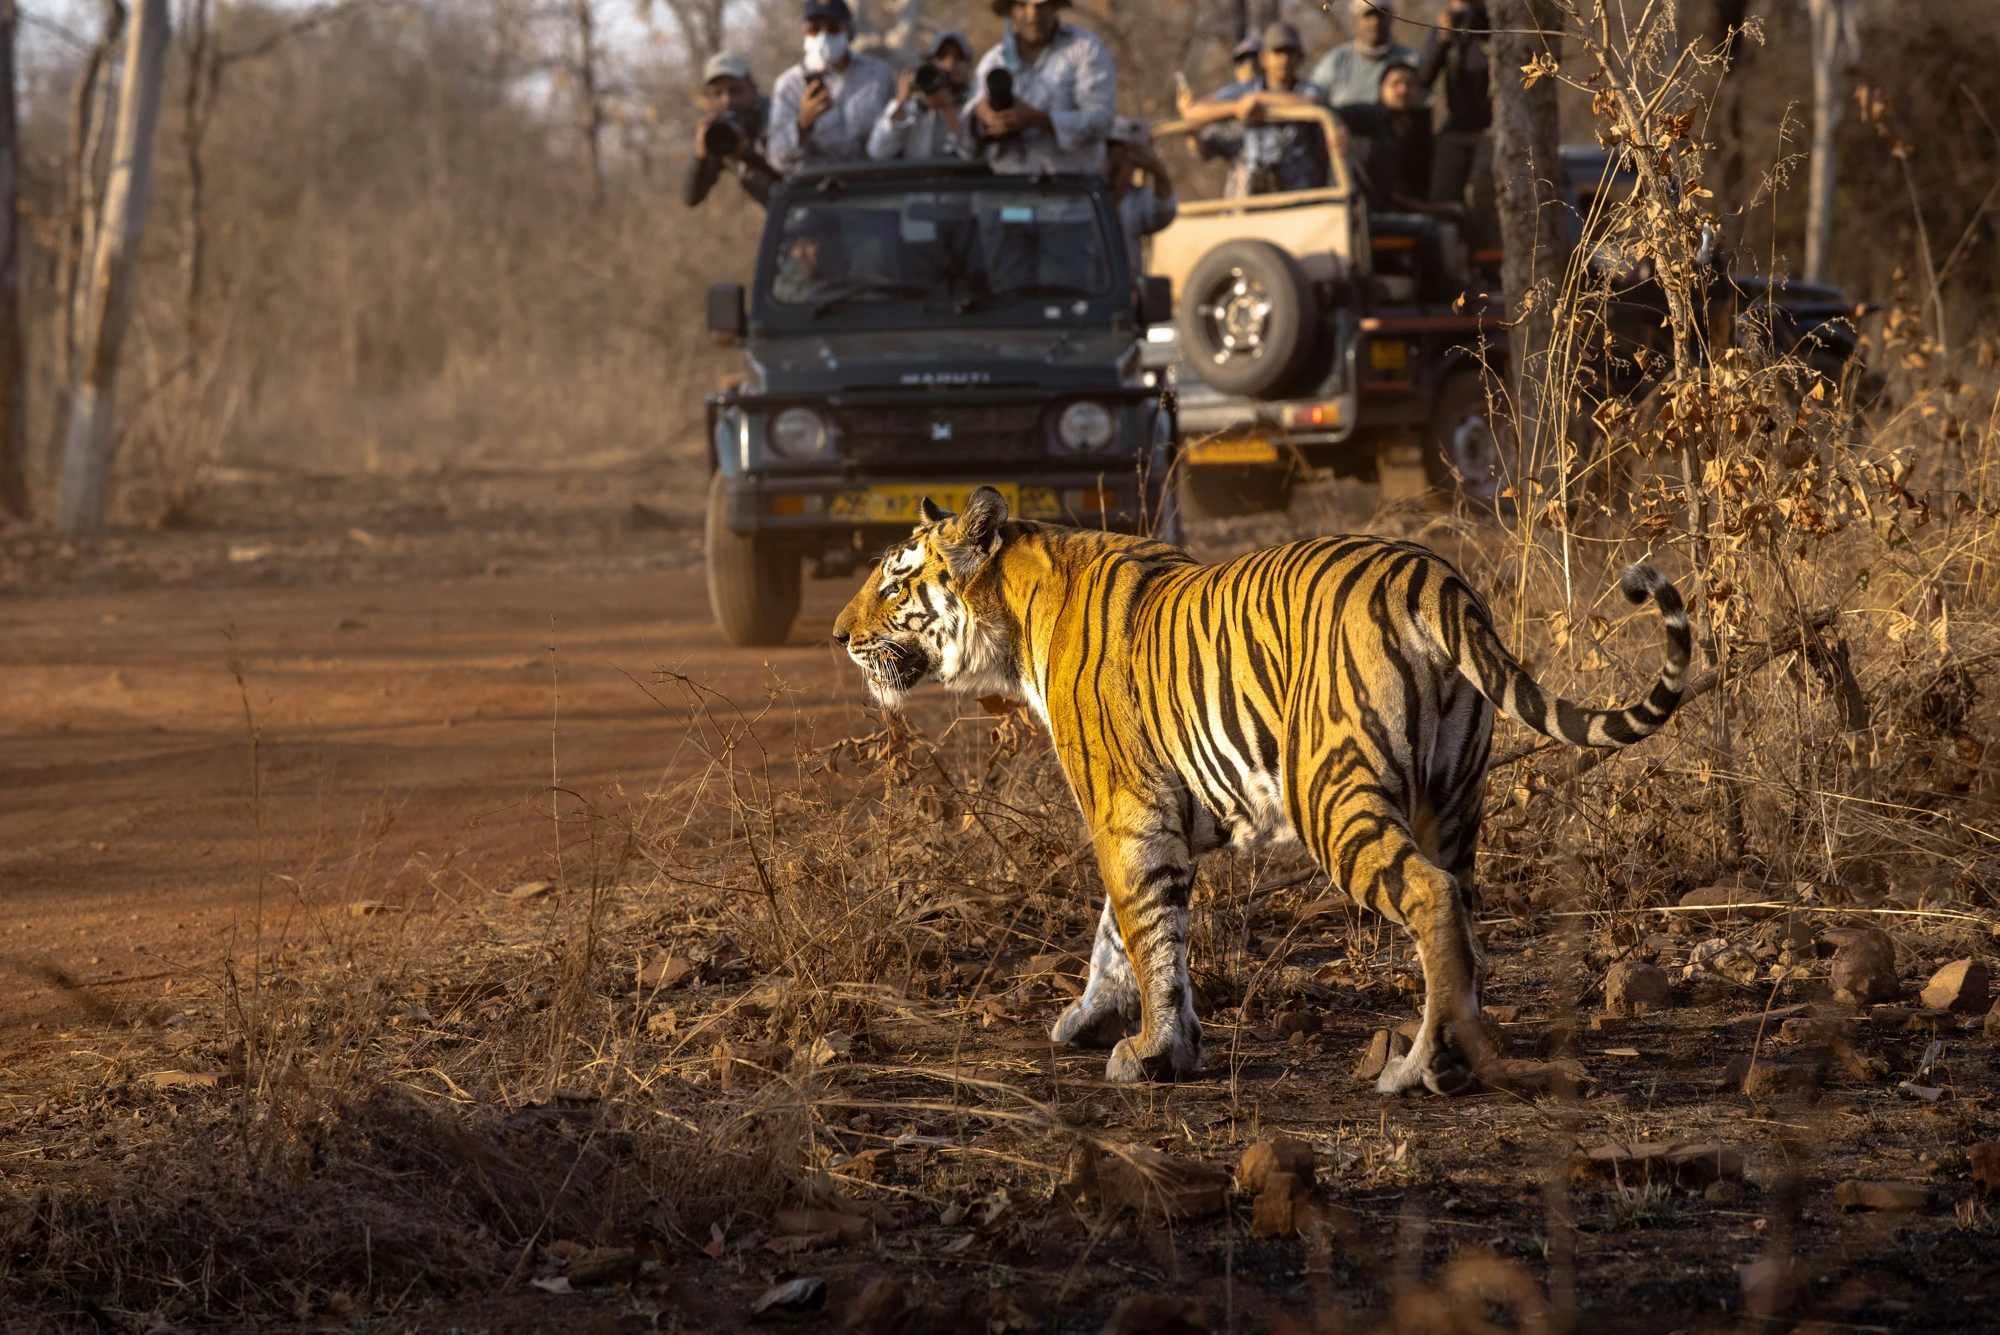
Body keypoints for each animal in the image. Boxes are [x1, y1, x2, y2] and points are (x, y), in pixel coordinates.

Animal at [832, 487, 1689, 1094]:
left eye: (895, 581)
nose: (839, 634)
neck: (1014, 615)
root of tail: (1435, 576)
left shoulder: (1127, 812)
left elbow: (1146, 930)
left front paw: (1154, 1050)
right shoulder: (1161, 813)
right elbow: (1118, 929)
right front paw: (1090, 1018)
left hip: (1331, 793)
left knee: (1431, 897)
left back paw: (1422, 1068)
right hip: (1454, 797)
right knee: (1464, 912)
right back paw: (1452, 1051)